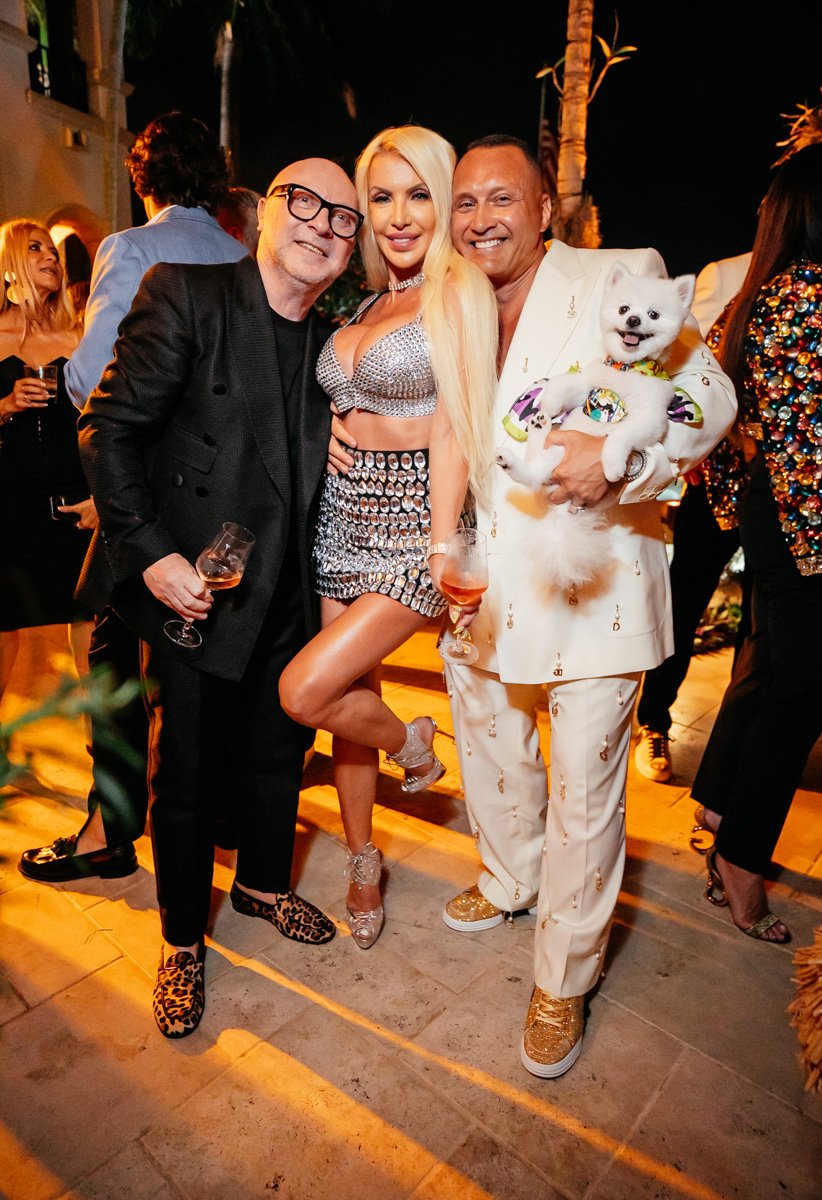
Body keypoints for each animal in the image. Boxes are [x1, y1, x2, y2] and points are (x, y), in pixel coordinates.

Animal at [496, 262, 696, 589]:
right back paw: (537, 428)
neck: (626, 369)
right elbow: (567, 383)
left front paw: (613, 465)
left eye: (653, 314)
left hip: (561, 458)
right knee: (534, 469)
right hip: (557, 450)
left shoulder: (650, 418)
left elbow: (622, 435)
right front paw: (549, 402)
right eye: (623, 308)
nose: (633, 319)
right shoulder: (587, 384)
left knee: (535, 476)